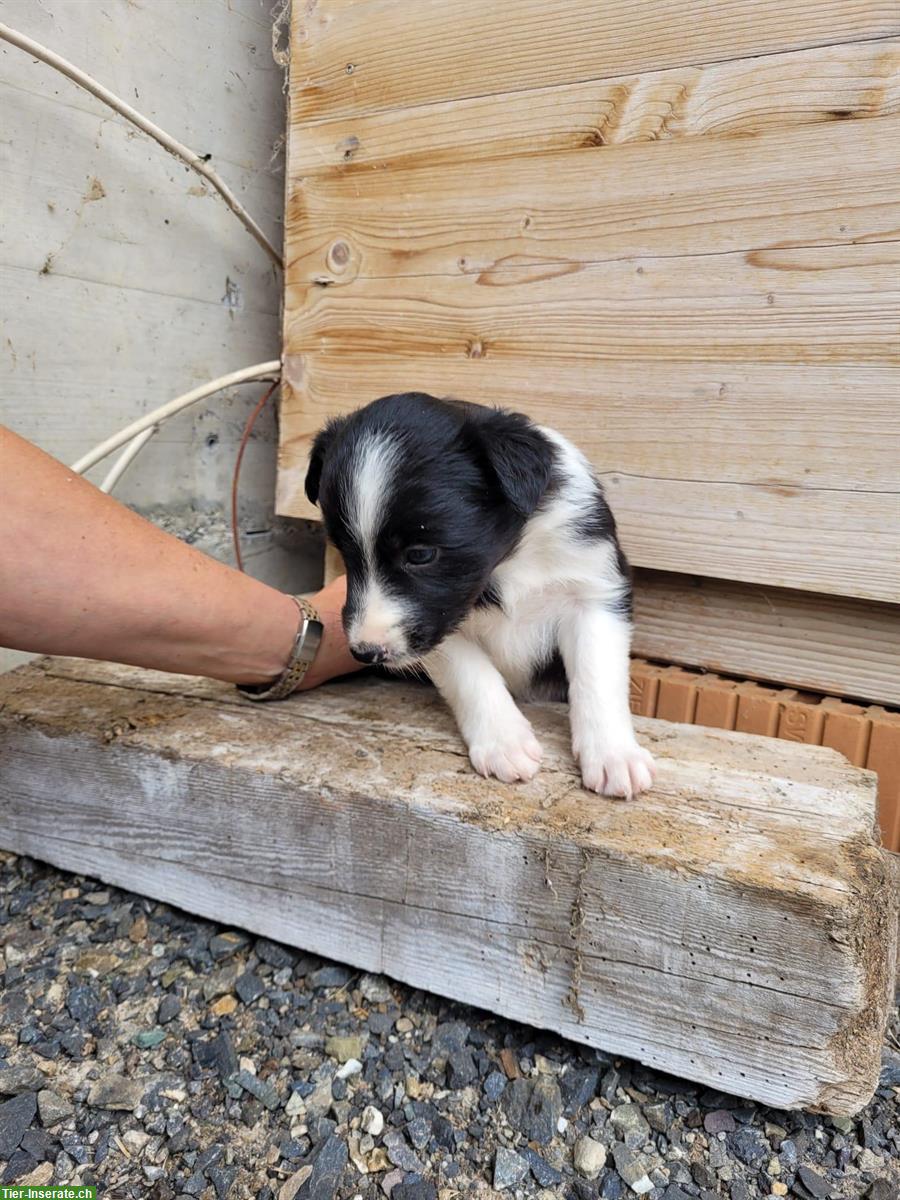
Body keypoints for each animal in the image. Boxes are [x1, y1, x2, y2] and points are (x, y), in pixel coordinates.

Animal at [309, 393, 657, 796]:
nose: (365, 652)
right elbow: (472, 676)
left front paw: (615, 755)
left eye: (420, 554)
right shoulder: (442, 625)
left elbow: (596, 677)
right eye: (345, 553)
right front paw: (505, 744)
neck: (509, 562)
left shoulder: (594, 590)